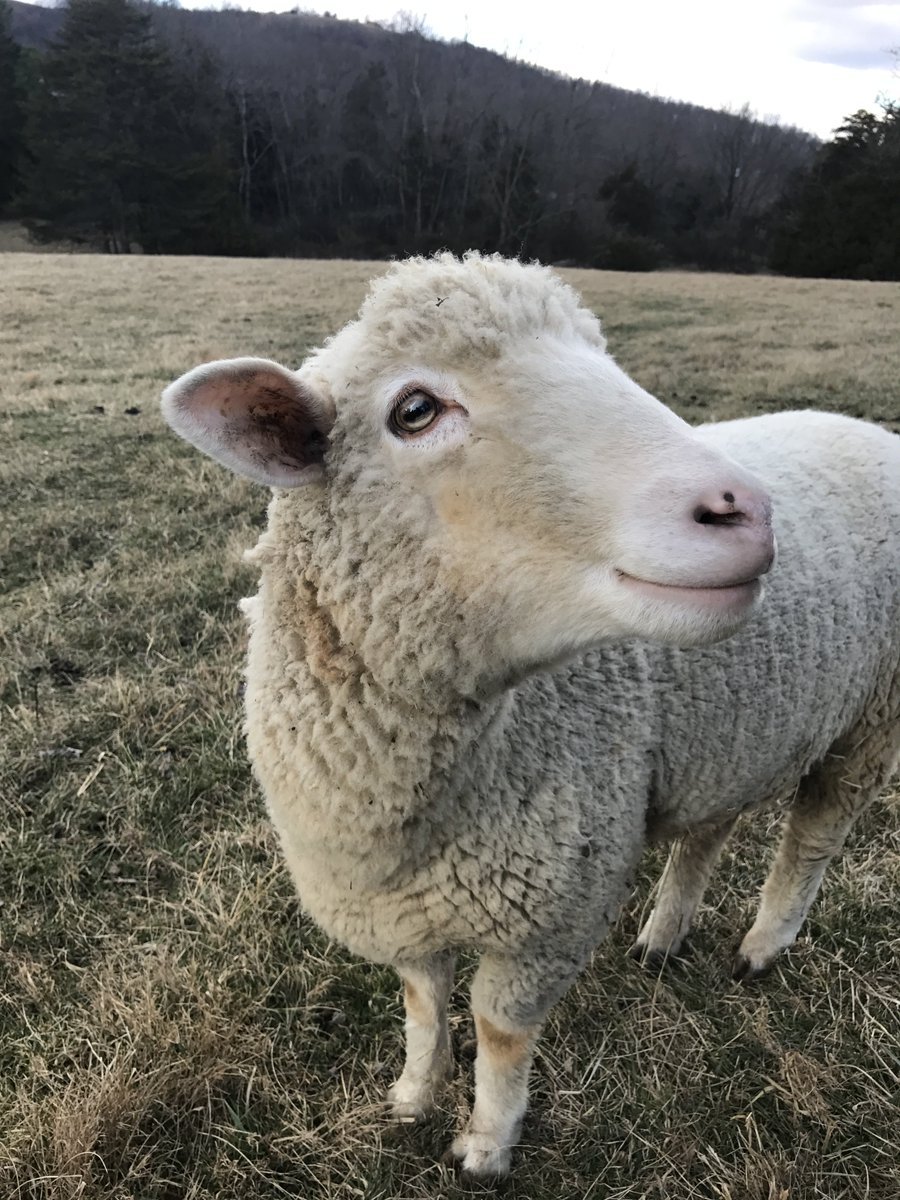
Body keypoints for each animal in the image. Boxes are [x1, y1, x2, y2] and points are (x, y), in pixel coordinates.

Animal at [161, 252, 900, 1178]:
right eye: (414, 411)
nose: (746, 509)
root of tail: (869, 430)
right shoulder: (407, 905)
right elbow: (421, 1001)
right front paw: (412, 1094)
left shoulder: (550, 908)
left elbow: (499, 1028)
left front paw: (486, 1140)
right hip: (727, 737)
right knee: (709, 828)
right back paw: (664, 934)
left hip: (873, 718)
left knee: (814, 837)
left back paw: (764, 946)